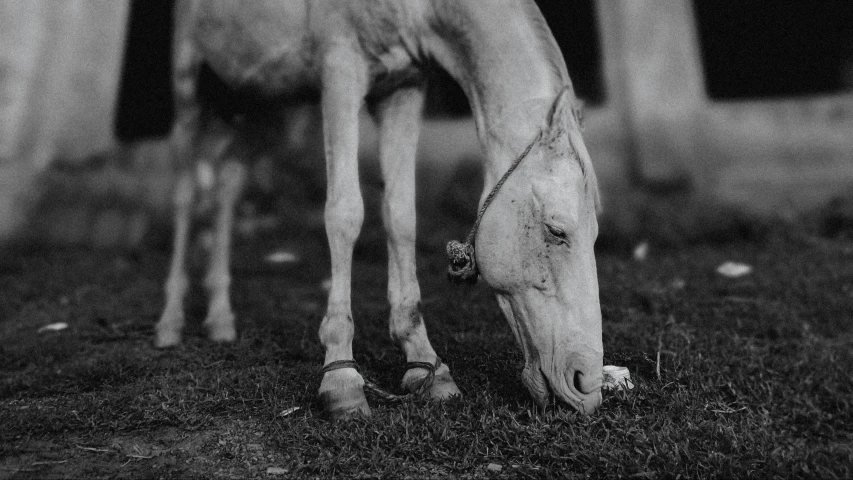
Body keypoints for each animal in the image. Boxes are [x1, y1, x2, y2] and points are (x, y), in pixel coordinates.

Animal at [155, 0, 604, 418]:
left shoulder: (402, 88)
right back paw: (170, 322)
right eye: (556, 230)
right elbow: (345, 213)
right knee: (184, 191)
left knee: (227, 186)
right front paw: (341, 380)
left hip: (254, 98)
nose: (586, 383)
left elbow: (401, 216)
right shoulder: (340, 72)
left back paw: (220, 319)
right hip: (188, 84)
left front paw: (426, 365)